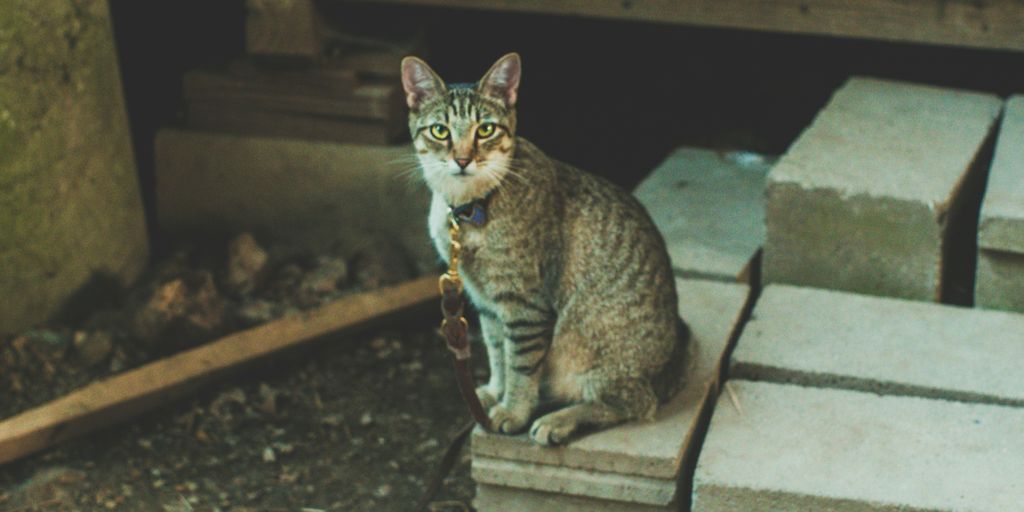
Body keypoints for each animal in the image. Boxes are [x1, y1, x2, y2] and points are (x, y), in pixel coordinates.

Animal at [399, 51, 688, 444]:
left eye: (485, 130)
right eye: (440, 131)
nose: (462, 160)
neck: (470, 207)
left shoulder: (525, 305)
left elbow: (520, 366)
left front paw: (512, 411)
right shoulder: (486, 302)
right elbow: (497, 351)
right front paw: (494, 391)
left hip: (597, 356)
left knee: (636, 402)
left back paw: (560, 419)